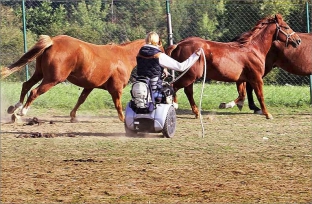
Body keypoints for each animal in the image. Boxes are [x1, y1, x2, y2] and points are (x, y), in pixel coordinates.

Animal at [0, 34, 147, 122]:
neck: (123, 56)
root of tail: (53, 41)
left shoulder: (89, 86)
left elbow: (81, 99)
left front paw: (73, 116)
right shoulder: (116, 88)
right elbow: (118, 104)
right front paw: (123, 119)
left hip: (40, 74)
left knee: (26, 85)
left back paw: (15, 108)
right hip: (52, 79)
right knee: (34, 92)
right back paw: (22, 112)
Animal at [165, 13, 302, 119]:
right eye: (286, 27)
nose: (298, 40)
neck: (253, 49)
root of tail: (179, 45)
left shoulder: (241, 80)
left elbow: (242, 95)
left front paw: (225, 105)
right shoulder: (257, 78)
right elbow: (260, 96)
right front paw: (267, 114)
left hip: (189, 75)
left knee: (187, 91)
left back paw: (197, 113)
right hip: (190, 75)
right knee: (174, 86)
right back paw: (174, 105)